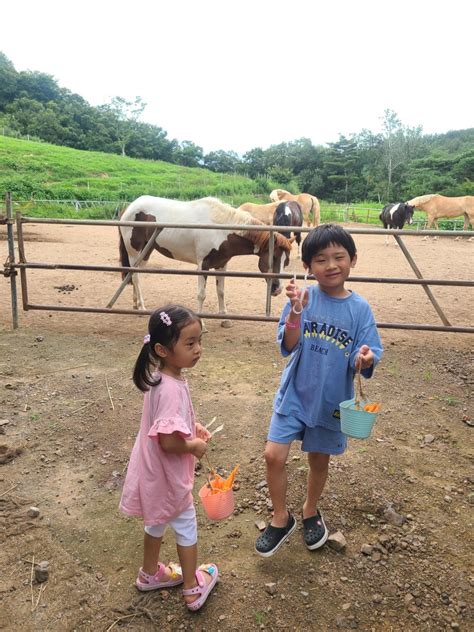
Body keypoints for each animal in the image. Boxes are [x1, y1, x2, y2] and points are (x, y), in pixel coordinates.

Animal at [119, 196, 292, 326]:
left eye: (286, 262)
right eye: (273, 257)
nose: (277, 289)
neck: (220, 229)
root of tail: (129, 207)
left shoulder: (221, 264)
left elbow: (221, 291)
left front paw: (225, 319)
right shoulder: (203, 265)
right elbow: (201, 294)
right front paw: (201, 322)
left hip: (146, 252)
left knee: (135, 275)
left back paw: (135, 304)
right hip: (134, 252)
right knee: (135, 277)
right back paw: (142, 307)